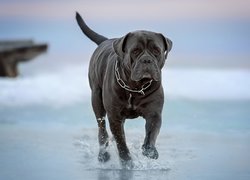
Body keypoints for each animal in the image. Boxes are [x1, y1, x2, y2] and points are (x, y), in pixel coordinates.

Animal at [75, 11, 172, 168]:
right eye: (136, 51)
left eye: (156, 50)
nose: (146, 60)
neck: (135, 87)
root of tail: (105, 41)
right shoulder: (114, 116)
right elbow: (121, 141)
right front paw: (126, 160)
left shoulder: (154, 112)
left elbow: (152, 132)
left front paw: (150, 150)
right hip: (96, 99)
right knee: (102, 129)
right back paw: (103, 154)